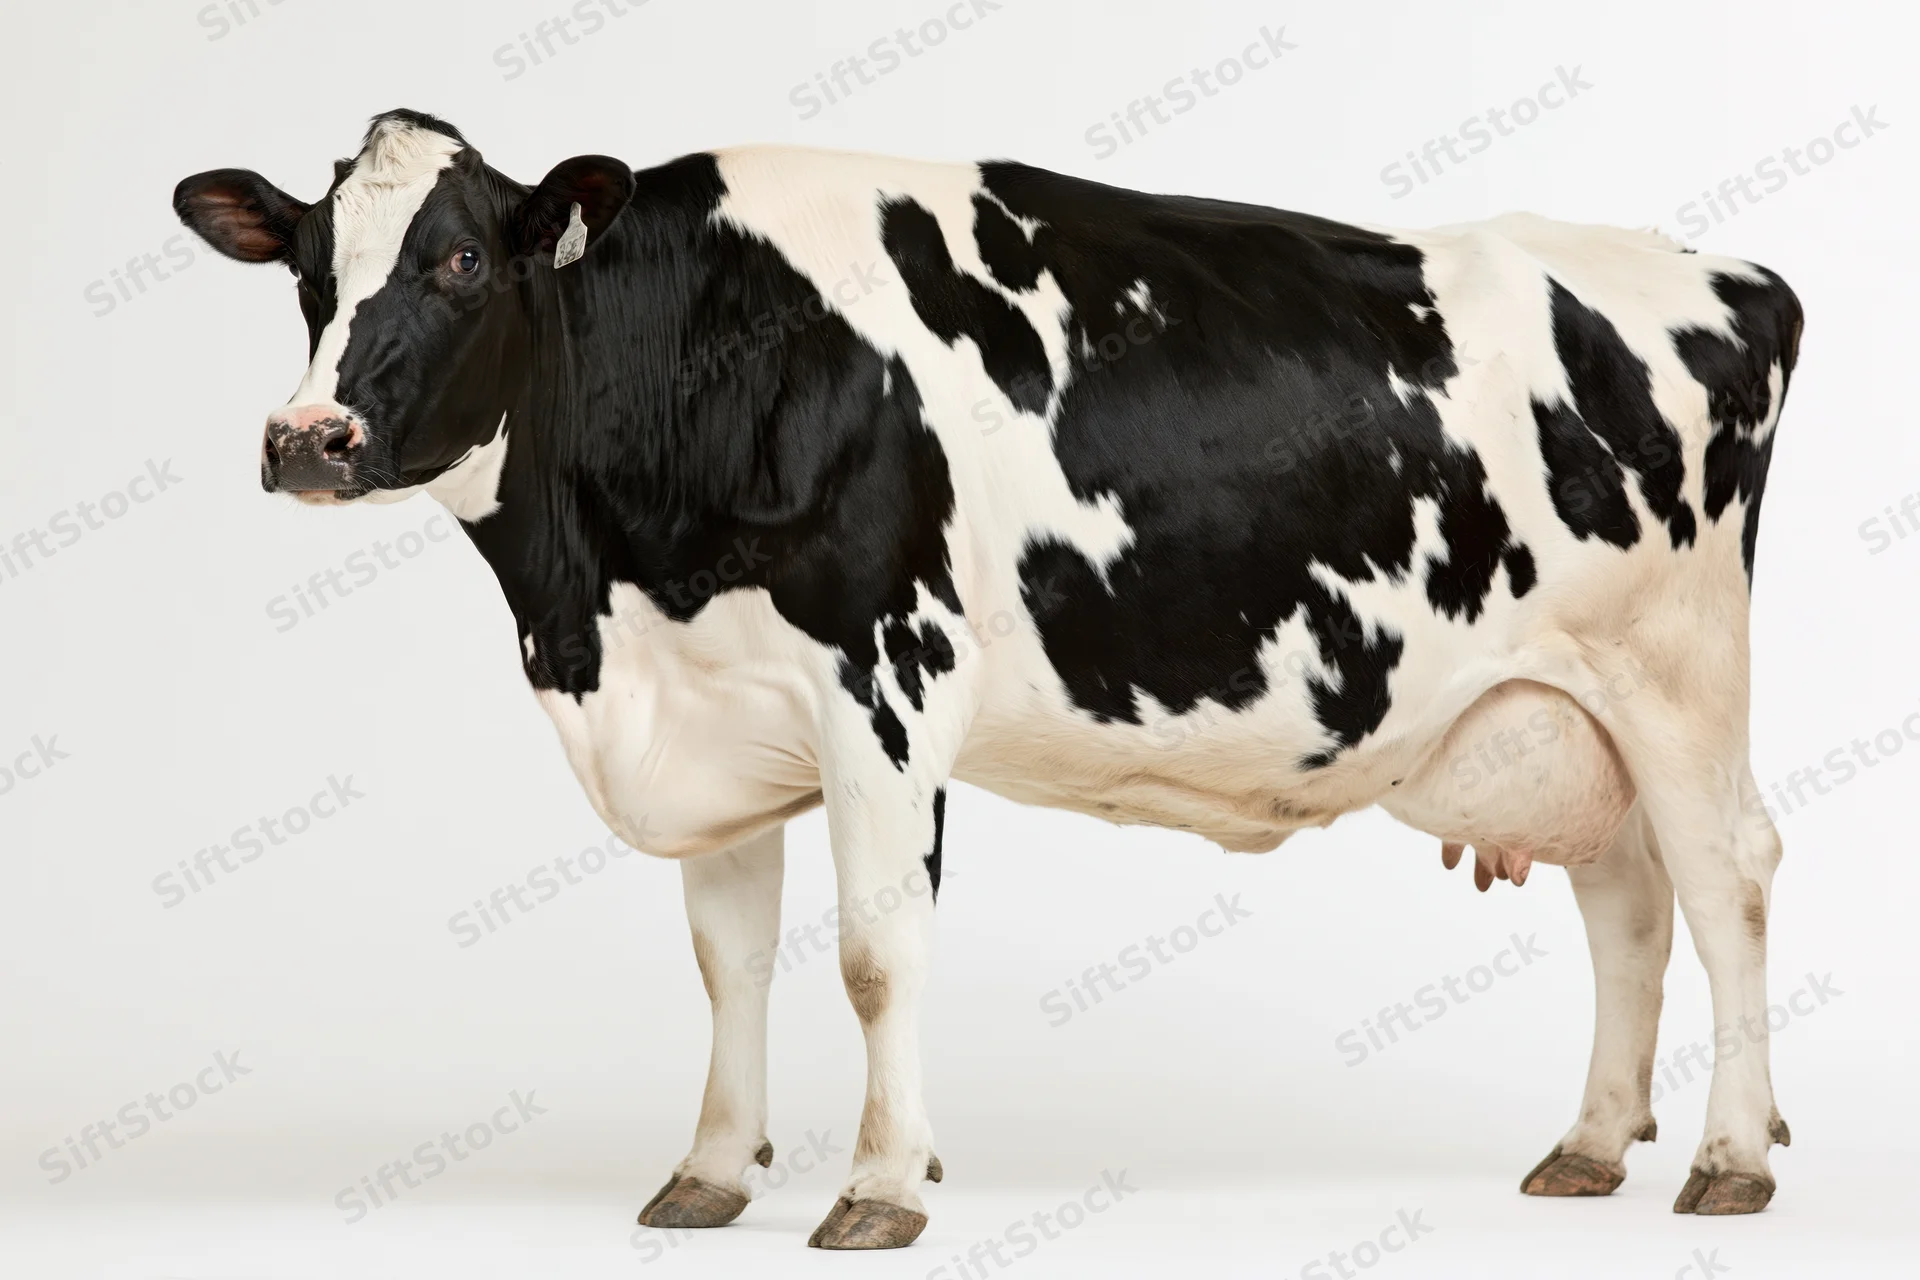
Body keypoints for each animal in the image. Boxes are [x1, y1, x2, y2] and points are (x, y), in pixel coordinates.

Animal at [173, 108, 1802, 1247]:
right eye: (309, 271)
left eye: (458, 258)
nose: (307, 439)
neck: (598, 604)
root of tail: (1727, 271)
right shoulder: (715, 707)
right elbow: (729, 963)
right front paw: (709, 1170)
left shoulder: (882, 683)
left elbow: (875, 957)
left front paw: (882, 1185)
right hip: (1563, 708)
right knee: (1627, 904)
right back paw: (1589, 1146)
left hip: (1682, 670)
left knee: (1726, 877)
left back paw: (1728, 1156)